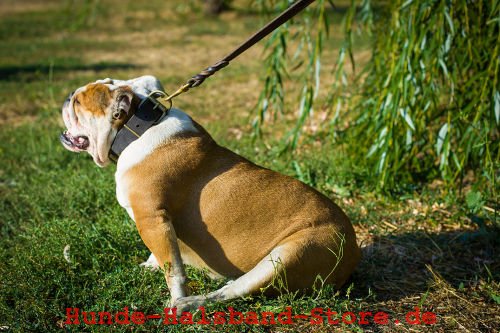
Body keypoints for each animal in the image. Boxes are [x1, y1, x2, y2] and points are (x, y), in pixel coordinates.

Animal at [59, 75, 360, 312]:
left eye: (78, 103)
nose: (67, 97)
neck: (137, 129)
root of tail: (352, 251)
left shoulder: (151, 218)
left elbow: (174, 270)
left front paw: (175, 296)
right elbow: (163, 256)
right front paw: (148, 265)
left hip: (288, 255)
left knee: (234, 292)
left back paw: (188, 304)